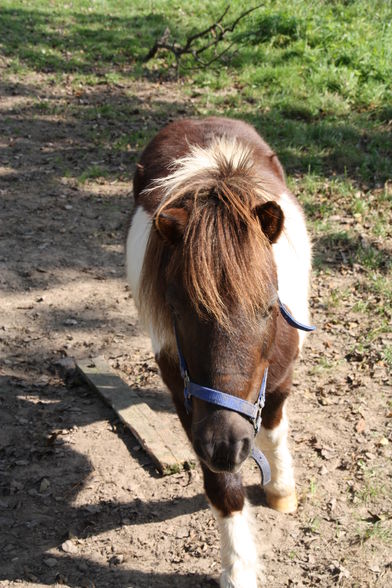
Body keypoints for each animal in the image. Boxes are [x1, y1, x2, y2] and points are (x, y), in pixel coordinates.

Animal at [125, 117, 312, 584]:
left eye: (269, 307)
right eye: (175, 307)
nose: (226, 445)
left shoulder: (280, 379)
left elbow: (275, 429)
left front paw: (281, 488)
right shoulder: (188, 400)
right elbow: (221, 485)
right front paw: (238, 568)